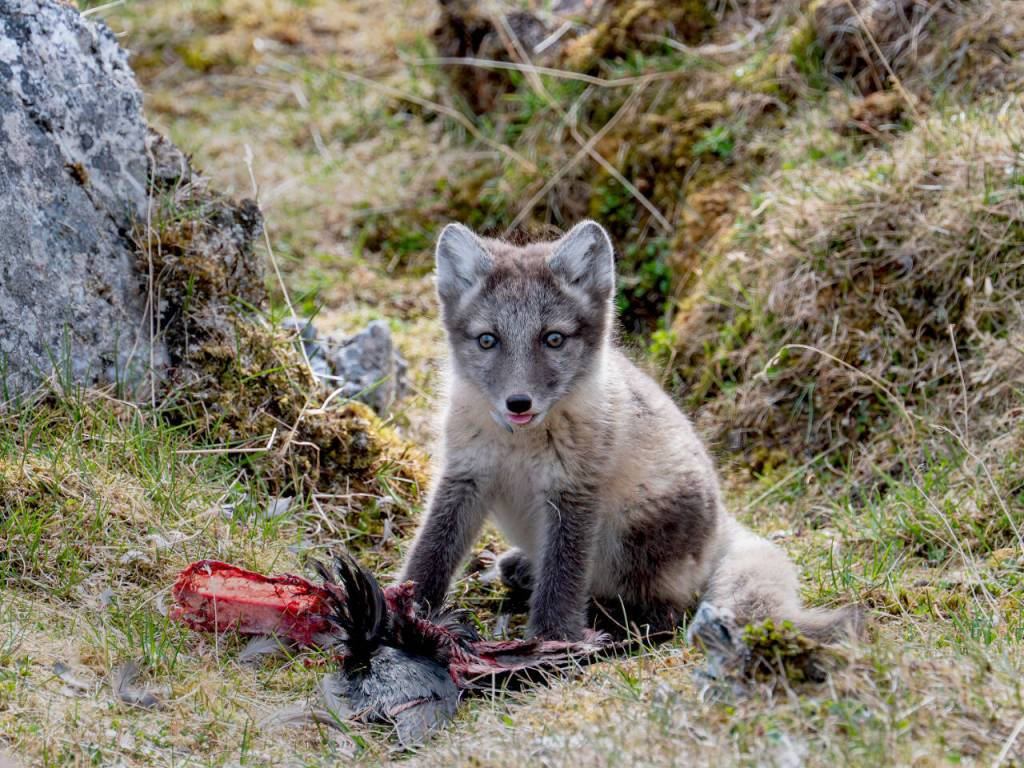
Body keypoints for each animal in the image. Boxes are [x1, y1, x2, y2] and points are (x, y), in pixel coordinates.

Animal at [400, 219, 861, 643]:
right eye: (487, 340)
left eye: (553, 339)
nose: (519, 403)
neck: (520, 445)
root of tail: (722, 530)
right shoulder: (465, 474)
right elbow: (431, 551)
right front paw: (408, 609)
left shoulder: (575, 490)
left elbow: (564, 575)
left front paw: (553, 640)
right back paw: (524, 570)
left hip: (634, 534)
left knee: (668, 608)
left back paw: (625, 630)